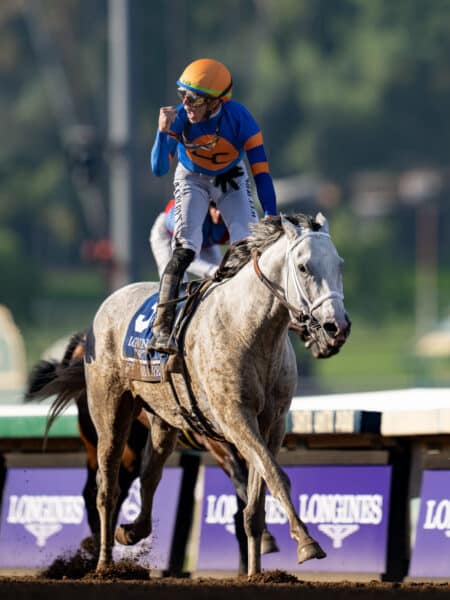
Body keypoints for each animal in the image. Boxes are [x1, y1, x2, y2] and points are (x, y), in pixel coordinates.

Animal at [79, 213, 350, 576]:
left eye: (339, 264)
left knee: (151, 474)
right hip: (110, 412)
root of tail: (110, 301)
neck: (250, 329)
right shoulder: (234, 417)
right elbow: (276, 476)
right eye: (304, 267)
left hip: (164, 420)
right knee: (107, 487)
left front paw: (256, 572)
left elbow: (258, 493)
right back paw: (106, 564)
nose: (338, 327)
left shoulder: (272, 422)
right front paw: (307, 542)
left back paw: (132, 530)